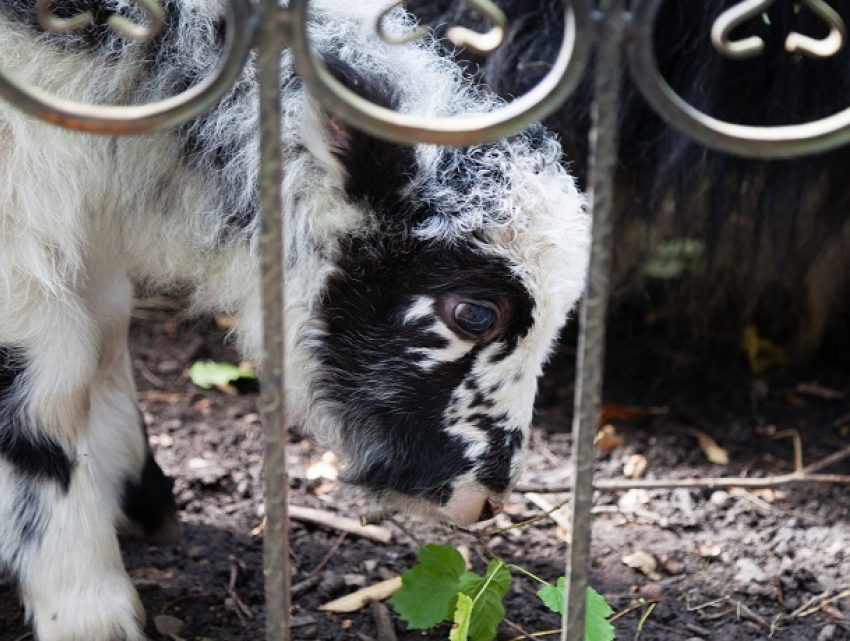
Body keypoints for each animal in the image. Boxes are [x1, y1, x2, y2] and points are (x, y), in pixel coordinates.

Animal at [0, 1, 588, 640]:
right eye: (475, 315)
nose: (489, 501)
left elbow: (106, 333)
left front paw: (135, 497)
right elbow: (54, 385)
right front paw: (87, 607)